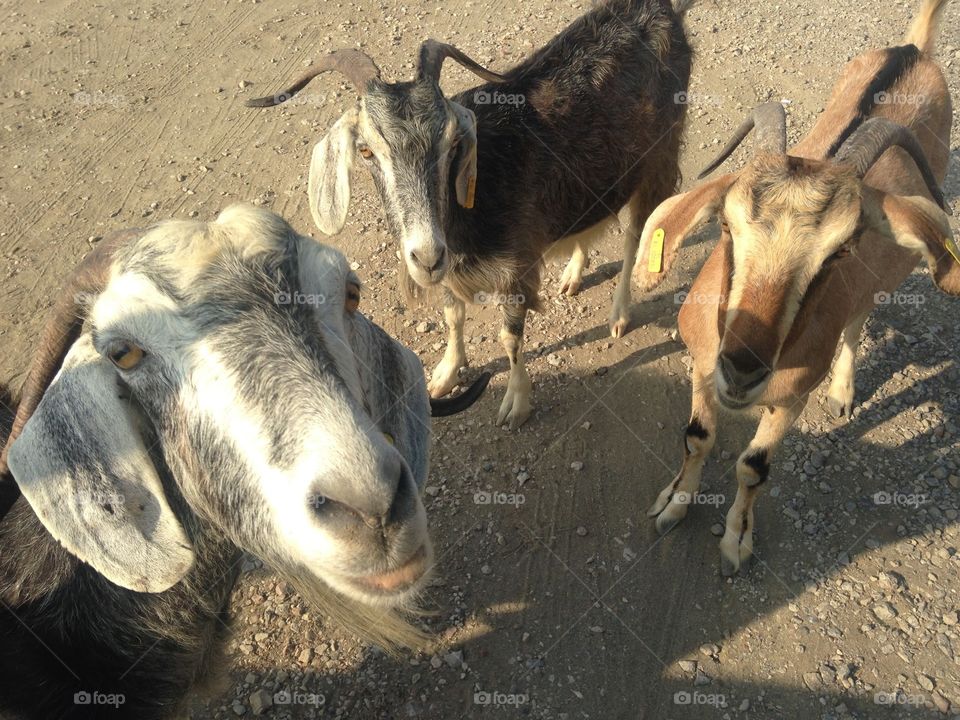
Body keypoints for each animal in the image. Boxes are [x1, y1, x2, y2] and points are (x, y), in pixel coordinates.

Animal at [246, 0, 696, 428]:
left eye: (453, 144)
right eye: (366, 151)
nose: (427, 256)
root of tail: (658, 10)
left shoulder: (516, 268)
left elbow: (509, 338)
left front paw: (516, 403)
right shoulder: (450, 266)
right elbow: (451, 315)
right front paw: (445, 374)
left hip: (659, 155)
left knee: (636, 234)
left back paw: (619, 314)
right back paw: (572, 273)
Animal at [634, 0, 958, 575]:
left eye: (841, 249)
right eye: (725, 226)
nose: (743, 370)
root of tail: (913, 51)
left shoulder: (790, 401)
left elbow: (753, 467)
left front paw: (735, 543)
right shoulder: (701, 364)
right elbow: (698, 438)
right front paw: (672, 504)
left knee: (857, 320)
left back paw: (844, 392)